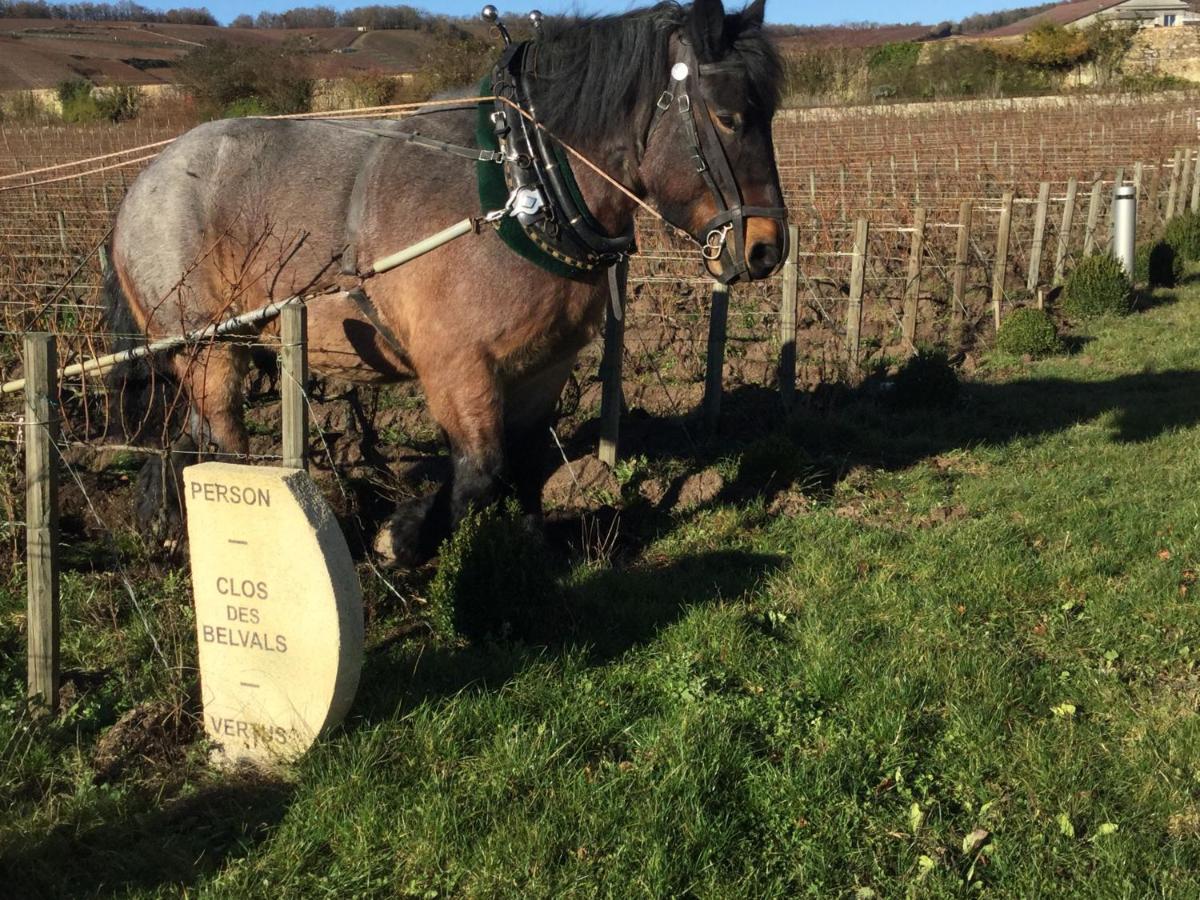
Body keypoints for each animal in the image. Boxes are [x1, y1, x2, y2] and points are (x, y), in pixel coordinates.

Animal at [110, 0, 787, 564]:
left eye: (770, 115)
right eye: (728, 117)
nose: (767, 249)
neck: (525, 188)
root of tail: (145, 180)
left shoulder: (546, 365)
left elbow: (528, 464)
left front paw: (526, 554)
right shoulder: (457, 365)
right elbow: (480, 470)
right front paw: (403, 536)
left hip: (221, 347)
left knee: (187, 436)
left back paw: (164, 523)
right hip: (208, 346)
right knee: (226, 447)